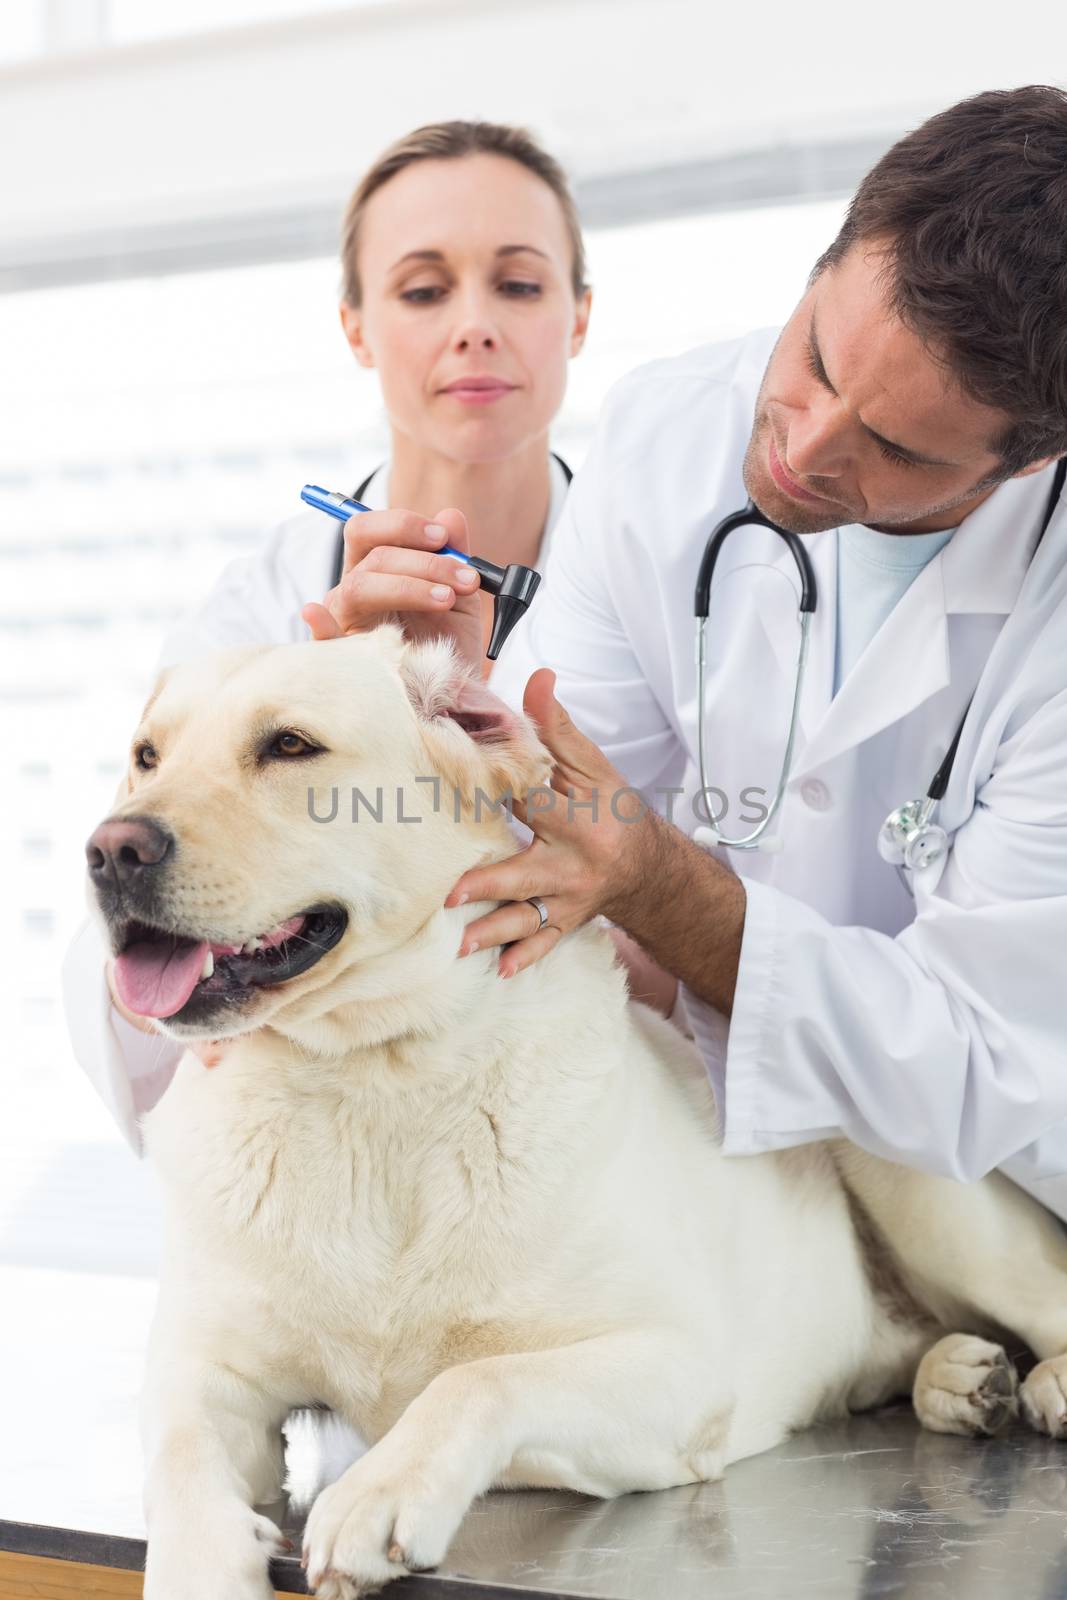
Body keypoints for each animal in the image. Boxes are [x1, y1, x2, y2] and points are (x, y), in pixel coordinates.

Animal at [85, 624, 1067, 1600]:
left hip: (891, 1140)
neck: (375, 1077)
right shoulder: (201, 1371)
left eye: (289, 745)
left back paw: (1038, 1382)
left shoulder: (680, 1370)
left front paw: (378, 1496)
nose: (111, 851)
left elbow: (479, 1381)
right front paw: (204, 1563)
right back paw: (959, 1380)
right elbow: (181, 1464)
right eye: (146, 756)